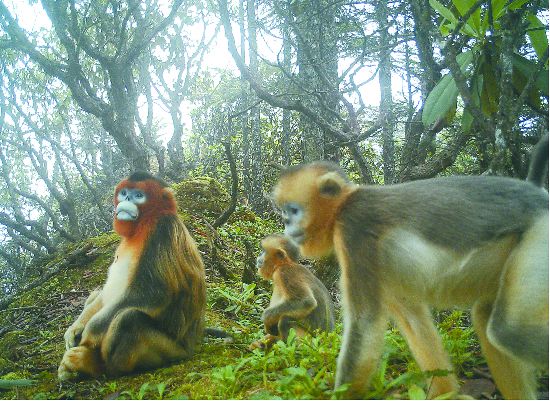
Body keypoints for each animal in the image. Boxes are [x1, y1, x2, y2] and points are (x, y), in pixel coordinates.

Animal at [57, 171, 207, 378]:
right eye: (124, 193)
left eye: (138, 195)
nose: (127, 199)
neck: (143, 225)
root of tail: (193, 344)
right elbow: (105, 293)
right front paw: (75, 328)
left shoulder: (162, 230)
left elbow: (152, 295)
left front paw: (88, 332)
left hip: (172, 351)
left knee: (129, 319)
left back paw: (93, 365)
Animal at [274, 161, 548, 398]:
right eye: (285, 212)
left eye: (293, 211)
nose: (286, 224)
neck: (345, 205)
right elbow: (413, 320)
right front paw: (446, 396)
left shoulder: (354, 227)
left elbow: (365, 323)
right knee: (486, 315)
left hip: (540, 234)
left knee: (508, 331)